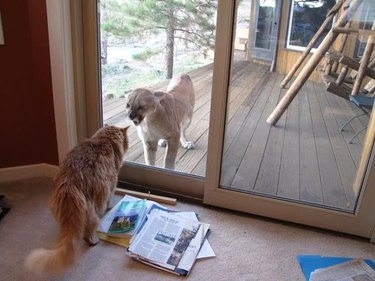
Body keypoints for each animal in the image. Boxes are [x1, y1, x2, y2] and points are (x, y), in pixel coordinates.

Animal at [25, 125, 130, 274]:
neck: (105, 140)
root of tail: (70, 183)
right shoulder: (112, 181)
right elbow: (109, 199)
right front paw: (110, 207)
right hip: (93, 207)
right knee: (88, 230)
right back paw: (93, 241)